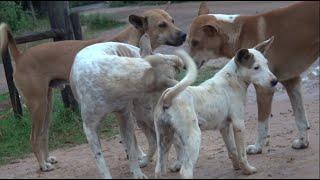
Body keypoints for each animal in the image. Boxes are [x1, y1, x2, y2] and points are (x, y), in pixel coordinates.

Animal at [0, 8, 185, 172]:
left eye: (172, 20)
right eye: (162, 25)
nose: (184, 34)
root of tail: (19, 56)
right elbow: (132, 140)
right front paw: (138, 156)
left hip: (47, 105)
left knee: (43, 134)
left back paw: (46, 159)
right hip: (38, 105)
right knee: (33, 137)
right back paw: (42, 165)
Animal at [154, 37, 278, 179]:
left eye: (267, 64)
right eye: (256, 67)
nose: (275, 81)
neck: (232, 80)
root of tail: (168, 95)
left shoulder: (225, 127)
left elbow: (233, 150)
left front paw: (237, 167)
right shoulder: (239, 124)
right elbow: (242, 154)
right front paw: (247, 170)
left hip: (164, 138)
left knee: (158, 169)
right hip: (193, 138)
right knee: (186, 171)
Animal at [186, 1, 318, 155]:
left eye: (195, 42)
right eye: (188, 41)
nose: (185, 66)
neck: (238, 34)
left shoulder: (265, 89)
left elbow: (262, 125)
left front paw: (257, 147)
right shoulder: (292, 81)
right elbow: (300, 118)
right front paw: (303, 142)